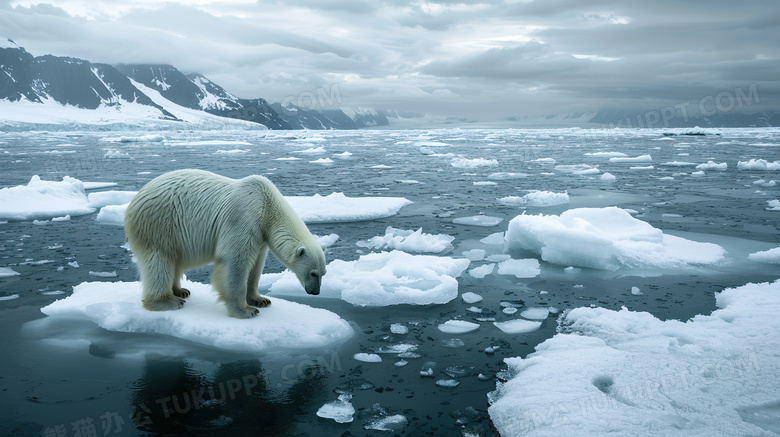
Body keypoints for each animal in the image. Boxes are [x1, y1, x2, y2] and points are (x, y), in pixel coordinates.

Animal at [125, 169, 326, 316]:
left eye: (323, 273)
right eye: (314, 273)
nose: (315, 292)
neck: (266, 205)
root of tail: (135, 199)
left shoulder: (261, 235)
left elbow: (256, 266)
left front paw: (261, 299)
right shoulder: (243, 218)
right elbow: (235, 261)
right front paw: (246, 310)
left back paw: (181, 290)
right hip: (159, 223)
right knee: (159, 260)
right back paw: (167, 301)